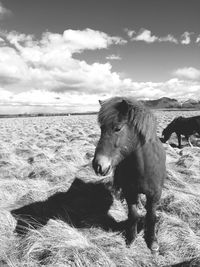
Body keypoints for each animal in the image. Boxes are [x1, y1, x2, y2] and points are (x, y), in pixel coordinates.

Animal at [92, 97, 166, 254]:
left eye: (117, 128)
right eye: (101, 128)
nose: (98, 165)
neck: (144, 168)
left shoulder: (155, 195)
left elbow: (151, 216)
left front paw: (153, 242)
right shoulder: (129, 191)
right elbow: (133, 215)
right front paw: (131, 238)